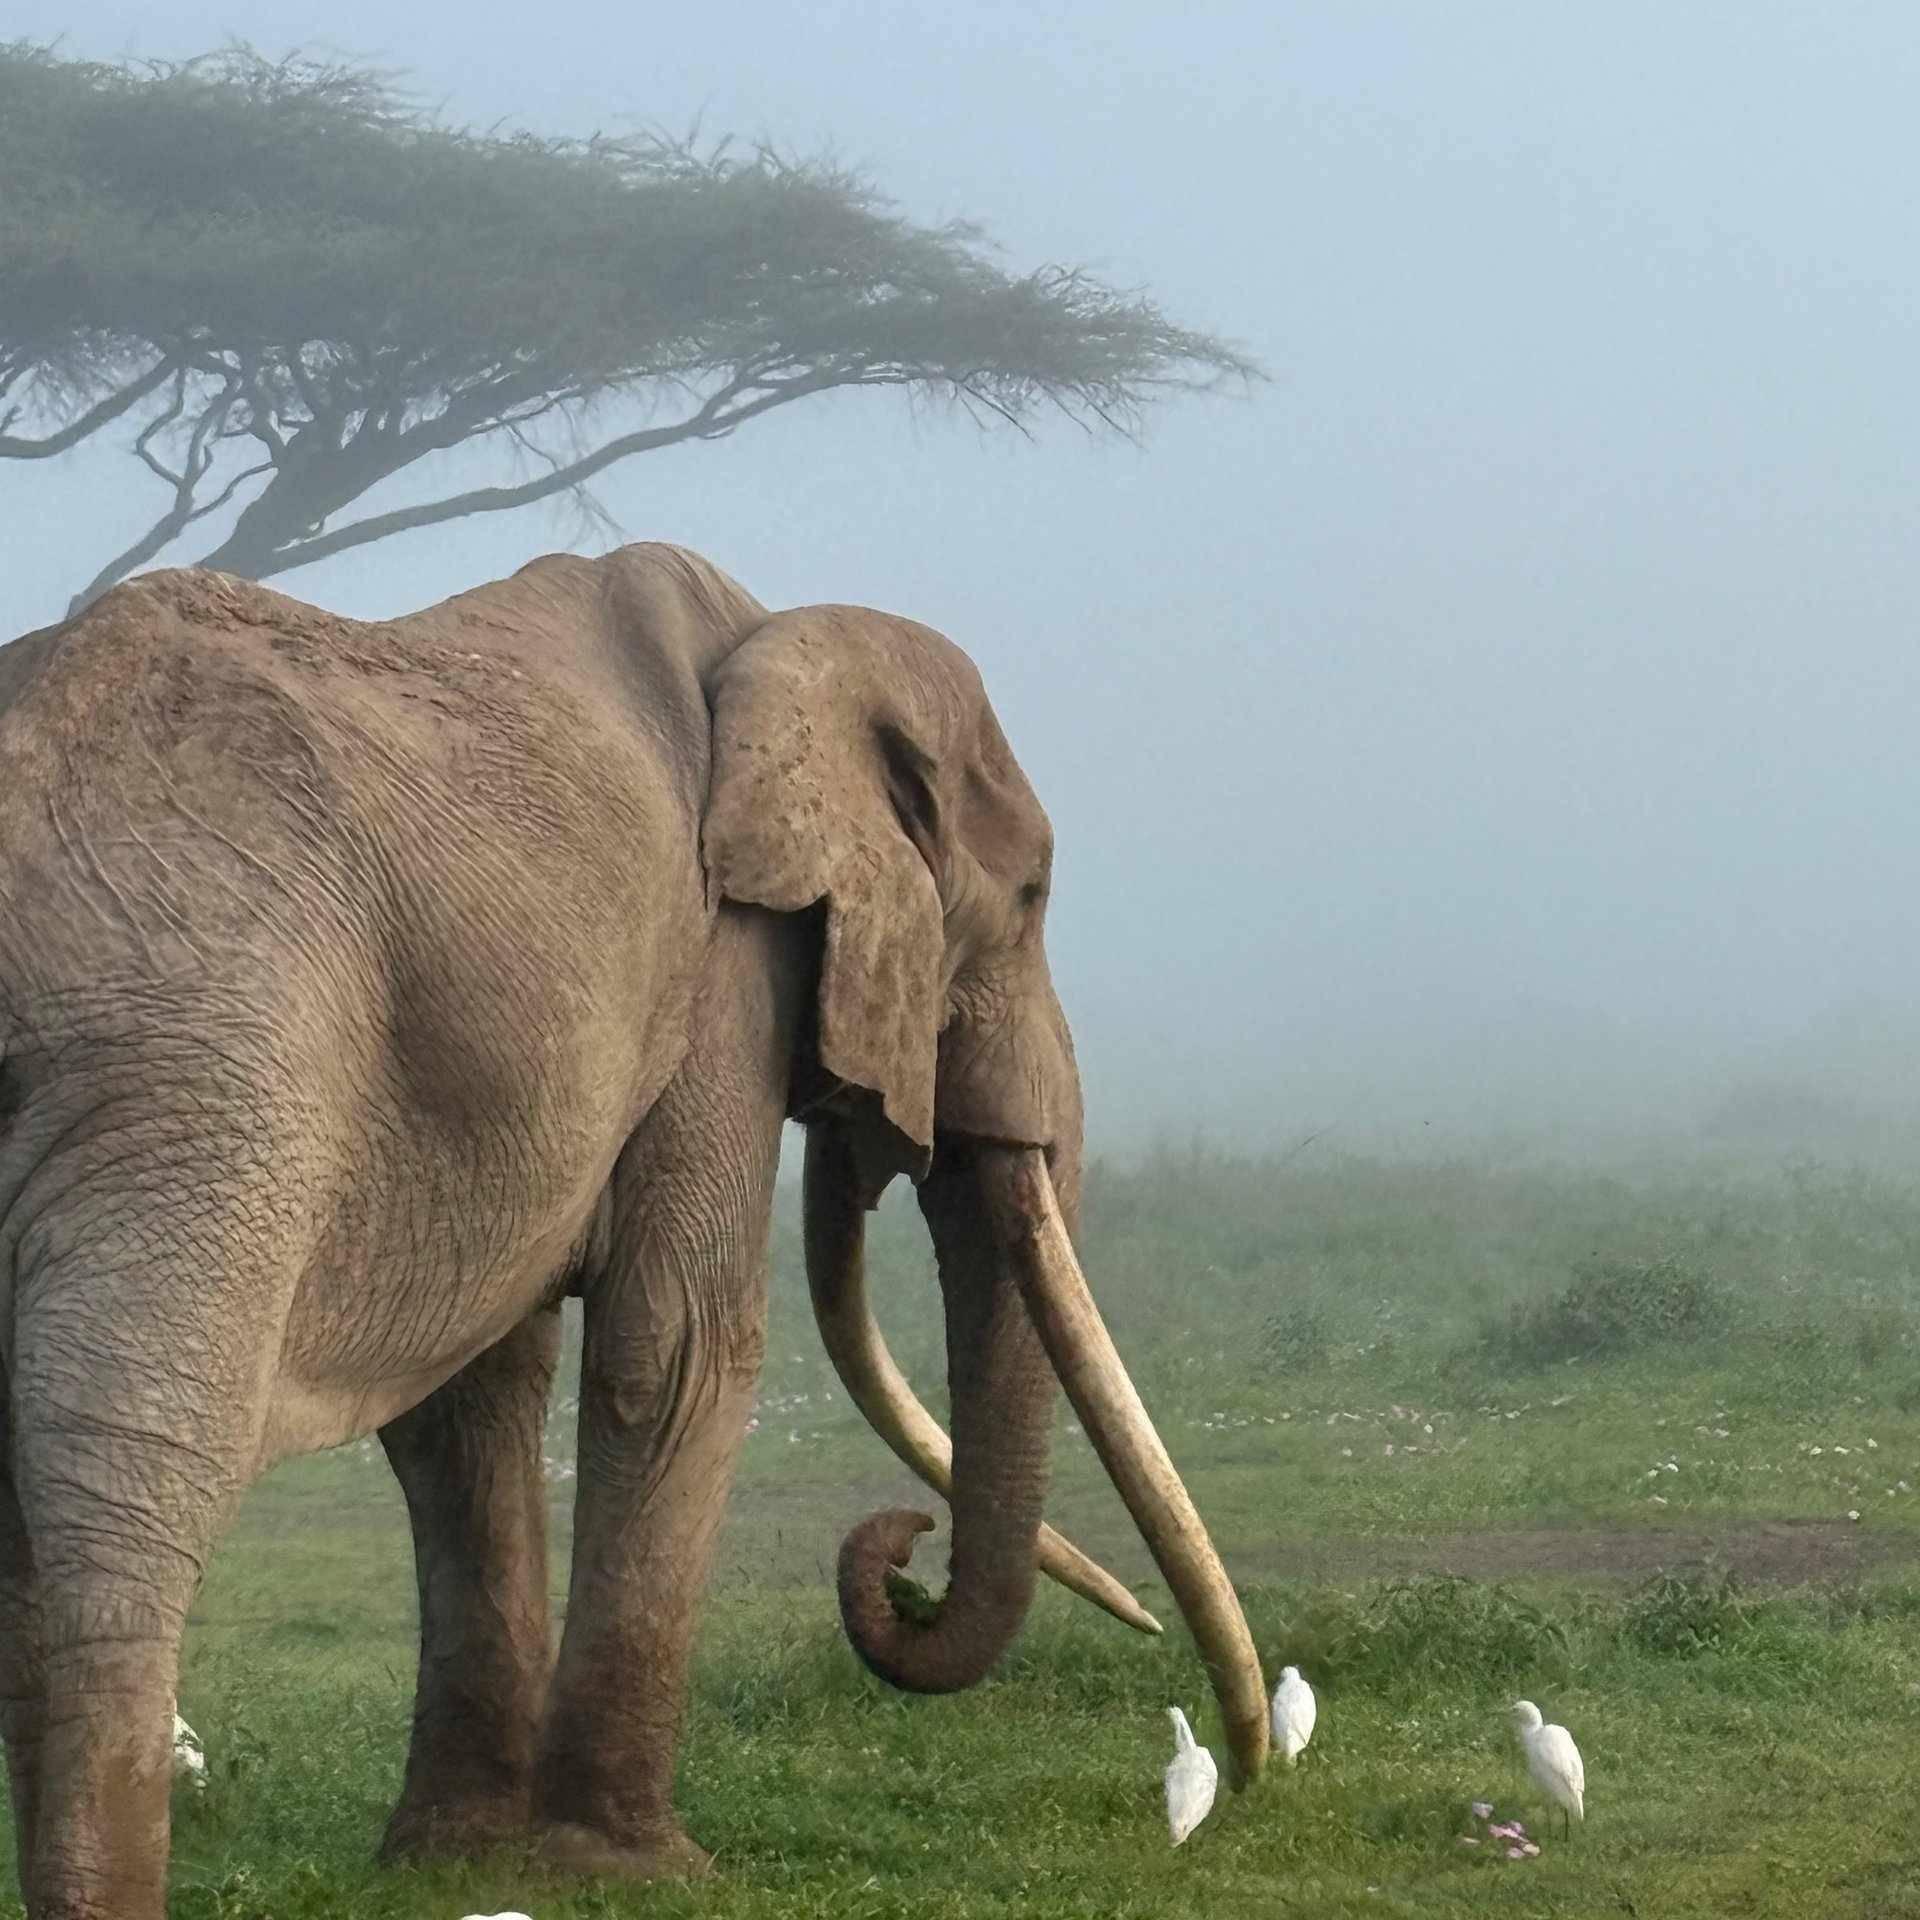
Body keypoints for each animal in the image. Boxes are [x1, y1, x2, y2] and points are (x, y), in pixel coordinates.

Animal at [0, 545, 1267, 1920]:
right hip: (197, 1060)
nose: (902, 1553)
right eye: (1030, 895)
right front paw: (634, 1866)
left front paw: (460, 1859)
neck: (778, 640)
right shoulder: (724, 964)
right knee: (127, 1465)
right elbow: (683, 1349)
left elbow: (471, 1399)